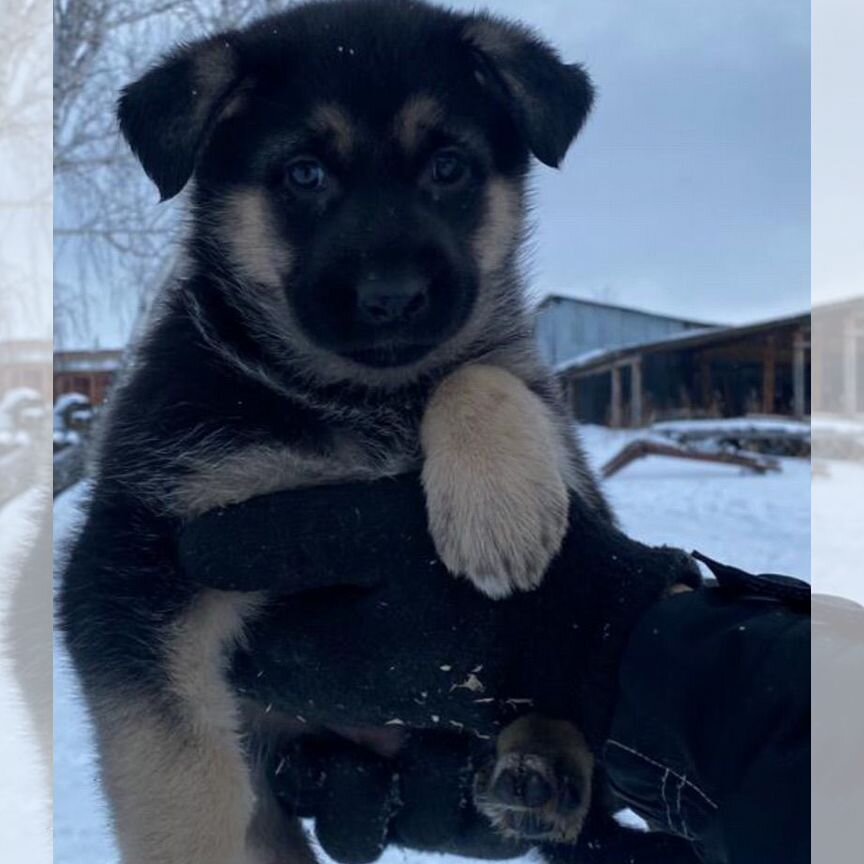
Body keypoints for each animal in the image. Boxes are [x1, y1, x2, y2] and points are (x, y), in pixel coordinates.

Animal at [59, 0, 608, 860]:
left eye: (448, 167)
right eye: (304, 174)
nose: (394, 297)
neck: (350, 399)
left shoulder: (567, 457)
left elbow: (478, 373)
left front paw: (500, 511)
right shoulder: (132, 557)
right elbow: (175, 772)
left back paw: (541, 766)